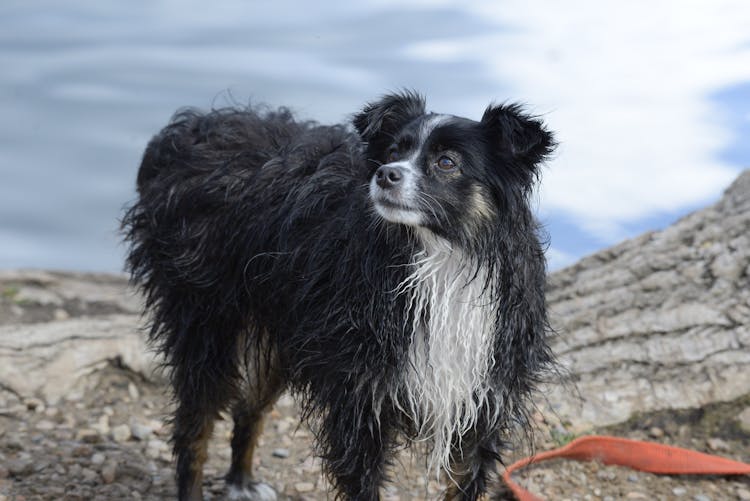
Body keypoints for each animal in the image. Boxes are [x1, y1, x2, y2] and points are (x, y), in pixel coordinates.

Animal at [123, 91, 560, 500]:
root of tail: (193, 128)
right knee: (194, 428)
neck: (440, 260)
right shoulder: (363, 398)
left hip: (279, 335)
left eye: (447, 162)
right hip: (206, 322)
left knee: (249, 407)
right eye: (394, 152)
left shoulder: (484, 400)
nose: (385, 174)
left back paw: (241, 480)